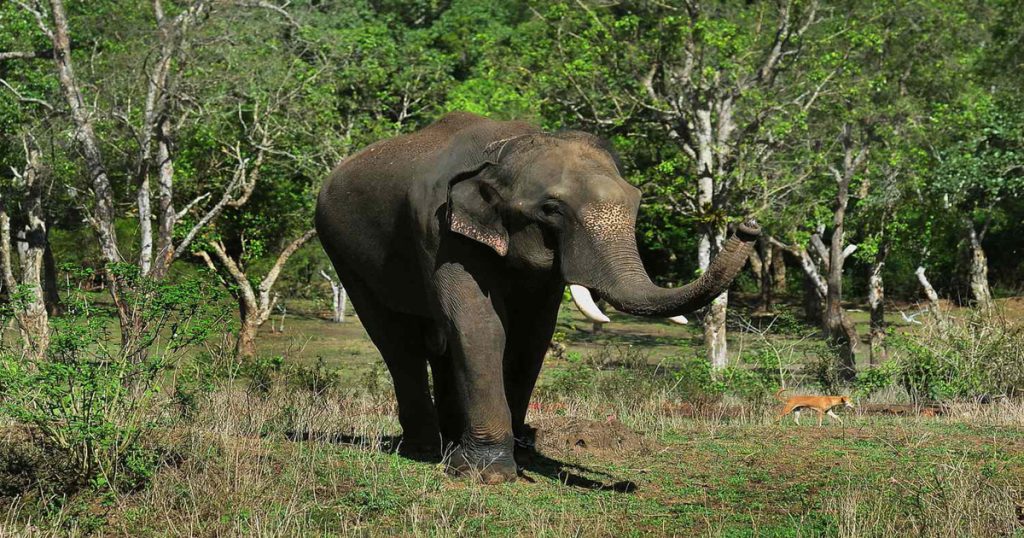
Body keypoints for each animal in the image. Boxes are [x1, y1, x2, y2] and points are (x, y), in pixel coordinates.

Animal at [315, 112, 759, 483]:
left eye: (635, 202)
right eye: (551, 209)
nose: (749, 226)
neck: (504, 150)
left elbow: (532, 336)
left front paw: (518, 457)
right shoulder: (439, 230)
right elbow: (481, 324)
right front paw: (485, 474)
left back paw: (448, 443)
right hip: (343, 252)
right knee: (397, 342)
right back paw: (425, 448)